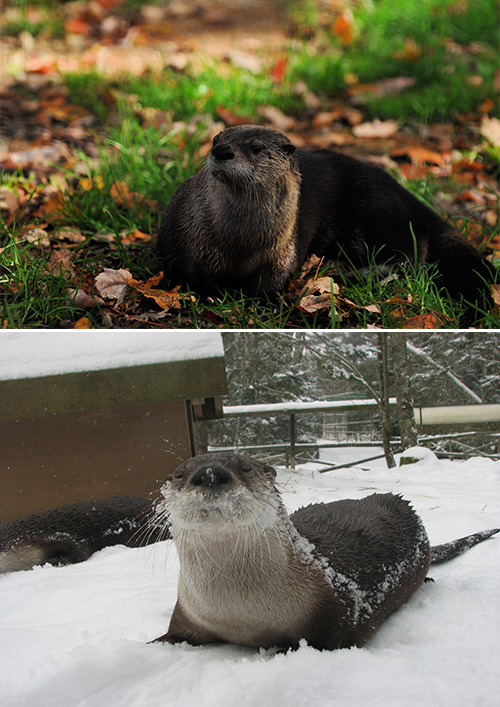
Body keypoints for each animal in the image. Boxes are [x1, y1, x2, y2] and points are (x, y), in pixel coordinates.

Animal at [154, 454, 498, 652]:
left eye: (246, 467)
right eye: (179, 474)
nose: (210, 473)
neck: (240, 611)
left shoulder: (336, 607)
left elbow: (329, 639)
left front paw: (284, 650)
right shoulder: (189, 612)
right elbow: (171, 635)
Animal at [156, 126, 496, 324]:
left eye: (255, 147)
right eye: (216, 139)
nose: (221, 150)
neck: (237, 243)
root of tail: (416, 202)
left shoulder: (282, 250)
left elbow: (273, 281)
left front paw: (268, 302)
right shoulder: (181, 240)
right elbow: (182, 274)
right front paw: (206, 294)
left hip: (378, 208)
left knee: (412, 254)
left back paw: (345, 270)